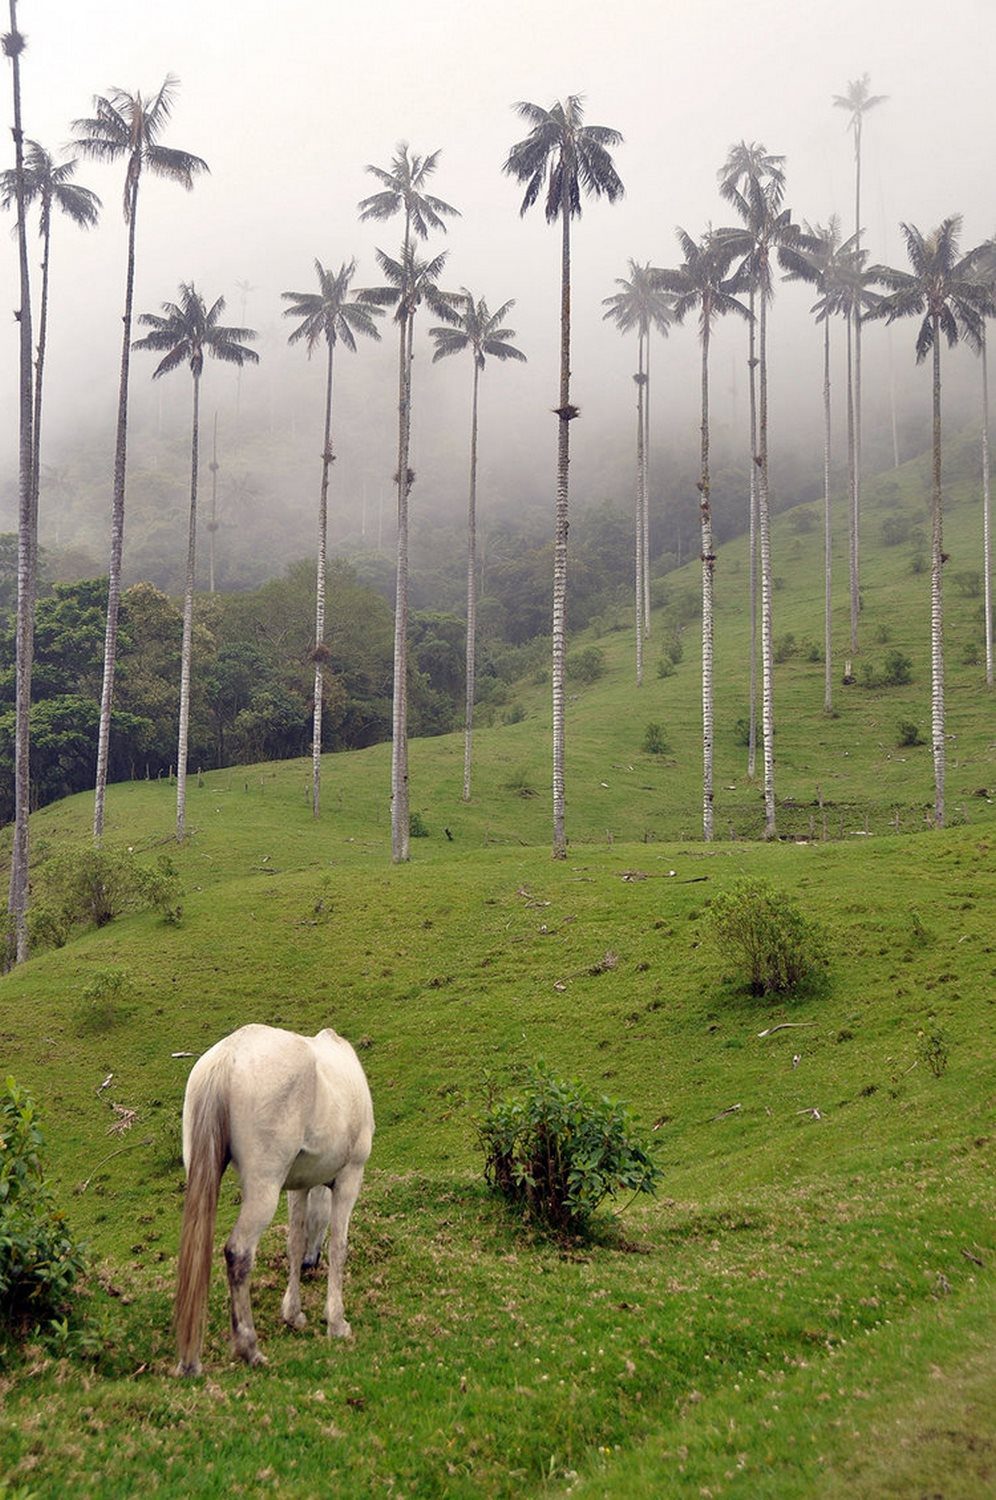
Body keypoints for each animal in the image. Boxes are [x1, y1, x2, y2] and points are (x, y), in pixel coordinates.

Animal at [171, 1026, 373, 1374]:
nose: (311, 1263)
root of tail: (229, 1056)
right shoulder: (350, 1177)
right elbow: (339, 1245)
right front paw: (336, 1323)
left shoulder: (298, 1187)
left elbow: (294, 1242)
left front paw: (294, 1314)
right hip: (263, 1188)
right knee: (238, 1253)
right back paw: (249, 1349)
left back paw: (191, 1362)